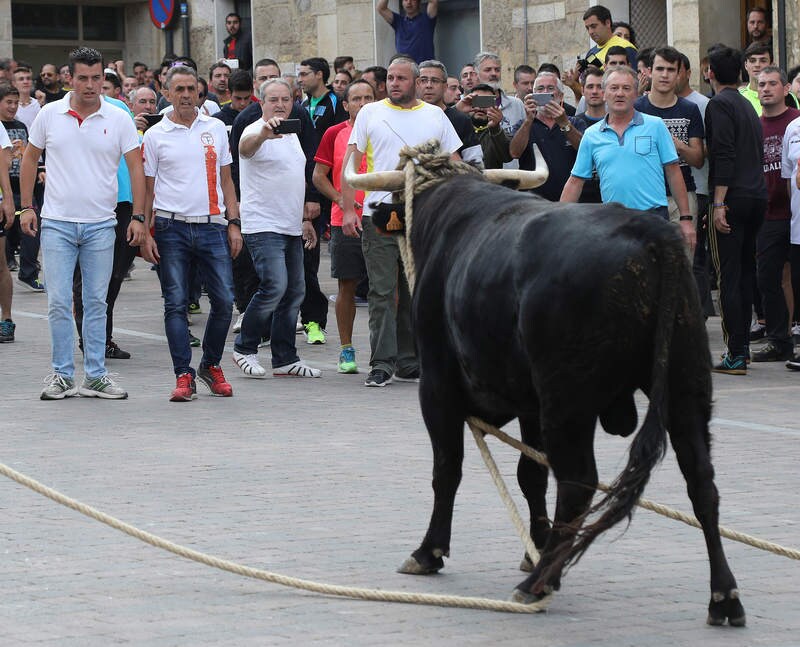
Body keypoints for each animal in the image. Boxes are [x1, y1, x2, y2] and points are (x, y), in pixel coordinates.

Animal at [390, 175, 748, 624]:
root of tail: (651, 233)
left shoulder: (437, 388)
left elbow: (446, 470)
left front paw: (429, 551)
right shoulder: (530, 405)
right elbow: (531, 474)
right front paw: (536, 543)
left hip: (568, 402)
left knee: (578, 481)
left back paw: (539, 582)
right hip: (686, 386)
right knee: (701, 483)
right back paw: (724, 595)